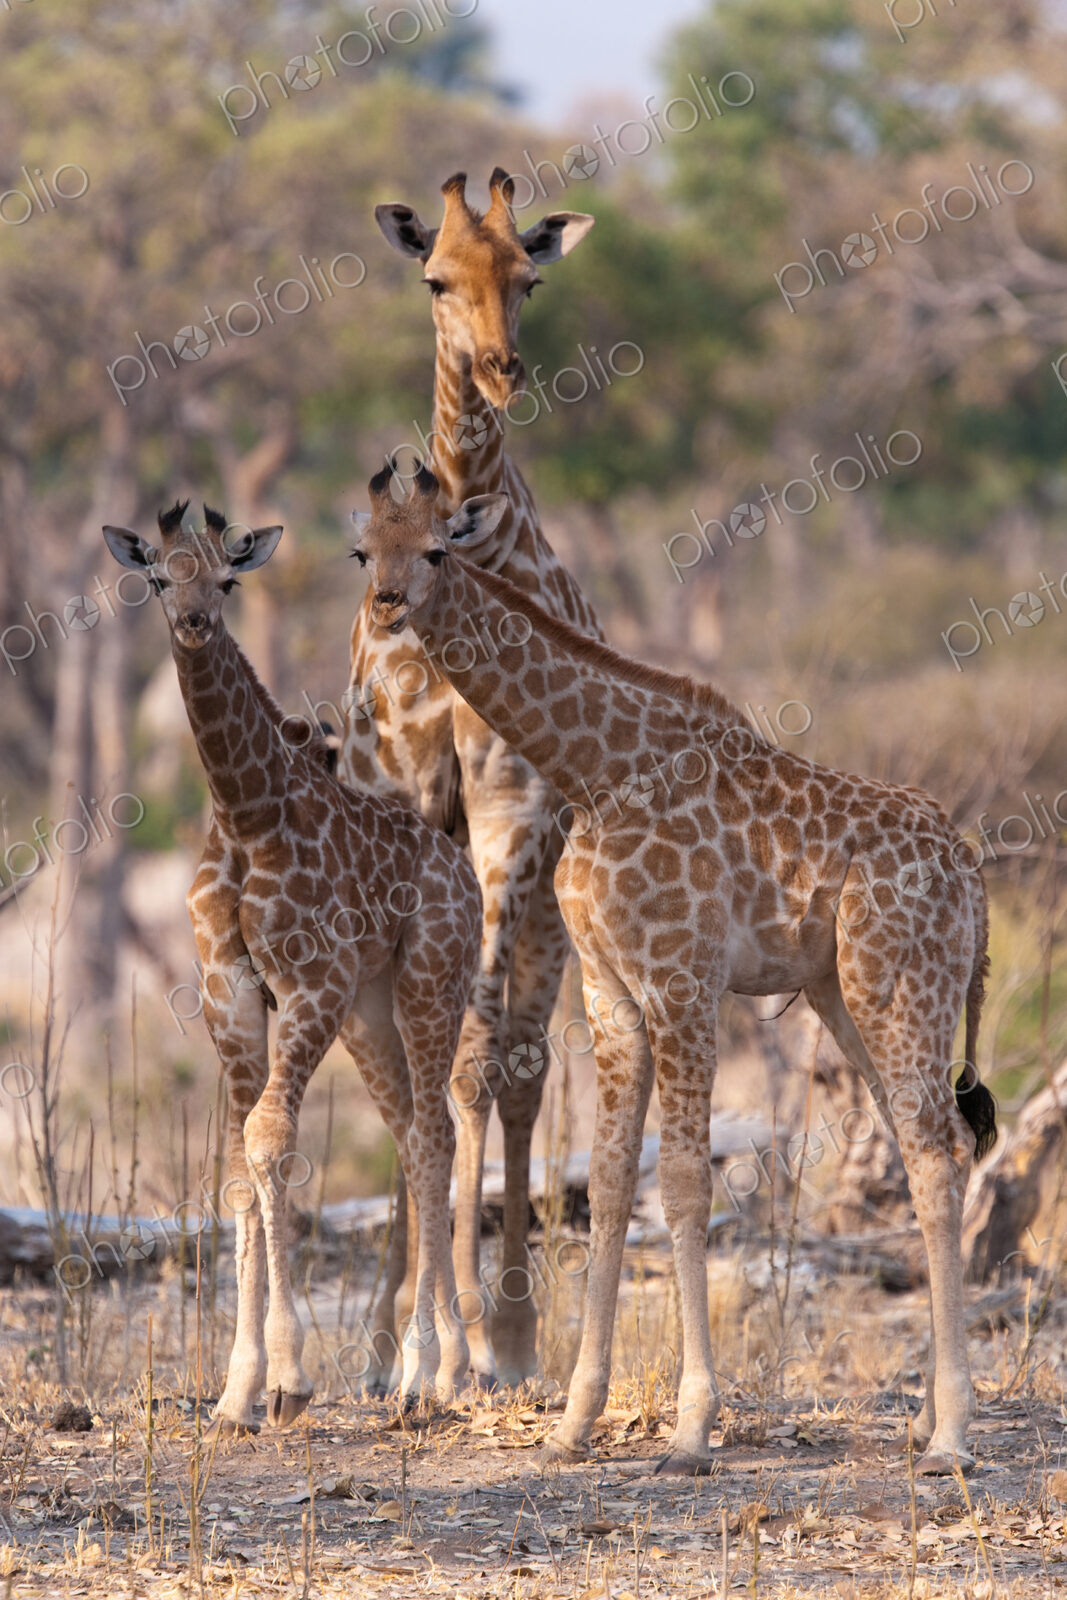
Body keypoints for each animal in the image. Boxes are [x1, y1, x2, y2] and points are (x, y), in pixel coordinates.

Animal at [103, 501, 482, 1432]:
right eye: (156, 577)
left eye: (227, 579)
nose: (193, 622)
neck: (246, 810)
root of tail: (461, 867)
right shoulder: (228, 993)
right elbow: (240, 1166)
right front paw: (237, 1390)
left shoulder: (311, 982)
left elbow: (271, 1140)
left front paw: (287, 1377)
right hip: (371, 1010)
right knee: (410, 1134)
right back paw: (427, 1368)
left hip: (429, 980)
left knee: (435, 1132)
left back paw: (432, 1372)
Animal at [349, 463, 998, 1476]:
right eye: (361, 549)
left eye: (436, 550)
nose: (386, 604)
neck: (596, 768)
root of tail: (970, 870)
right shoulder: (611, 988)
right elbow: (614, 1182)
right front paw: (574, 1423)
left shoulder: (682, 977)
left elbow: (685, 1183)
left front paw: (693, 1429)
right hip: (848, 997)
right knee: (930, 1144)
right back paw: (927, 1417)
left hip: (898, 985)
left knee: (936, 1151)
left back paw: (953, 1436)